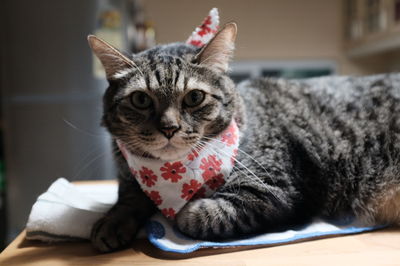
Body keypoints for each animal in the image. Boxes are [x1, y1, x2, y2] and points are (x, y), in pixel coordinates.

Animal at [86, 22, 400, 251]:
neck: (173, 172)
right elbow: (129, 197)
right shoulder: (129, 177)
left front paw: (182, 212)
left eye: (194, 97)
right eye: (140, 100)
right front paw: (112, 222)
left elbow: (200, 215)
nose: (169, 128)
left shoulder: (275, 190)